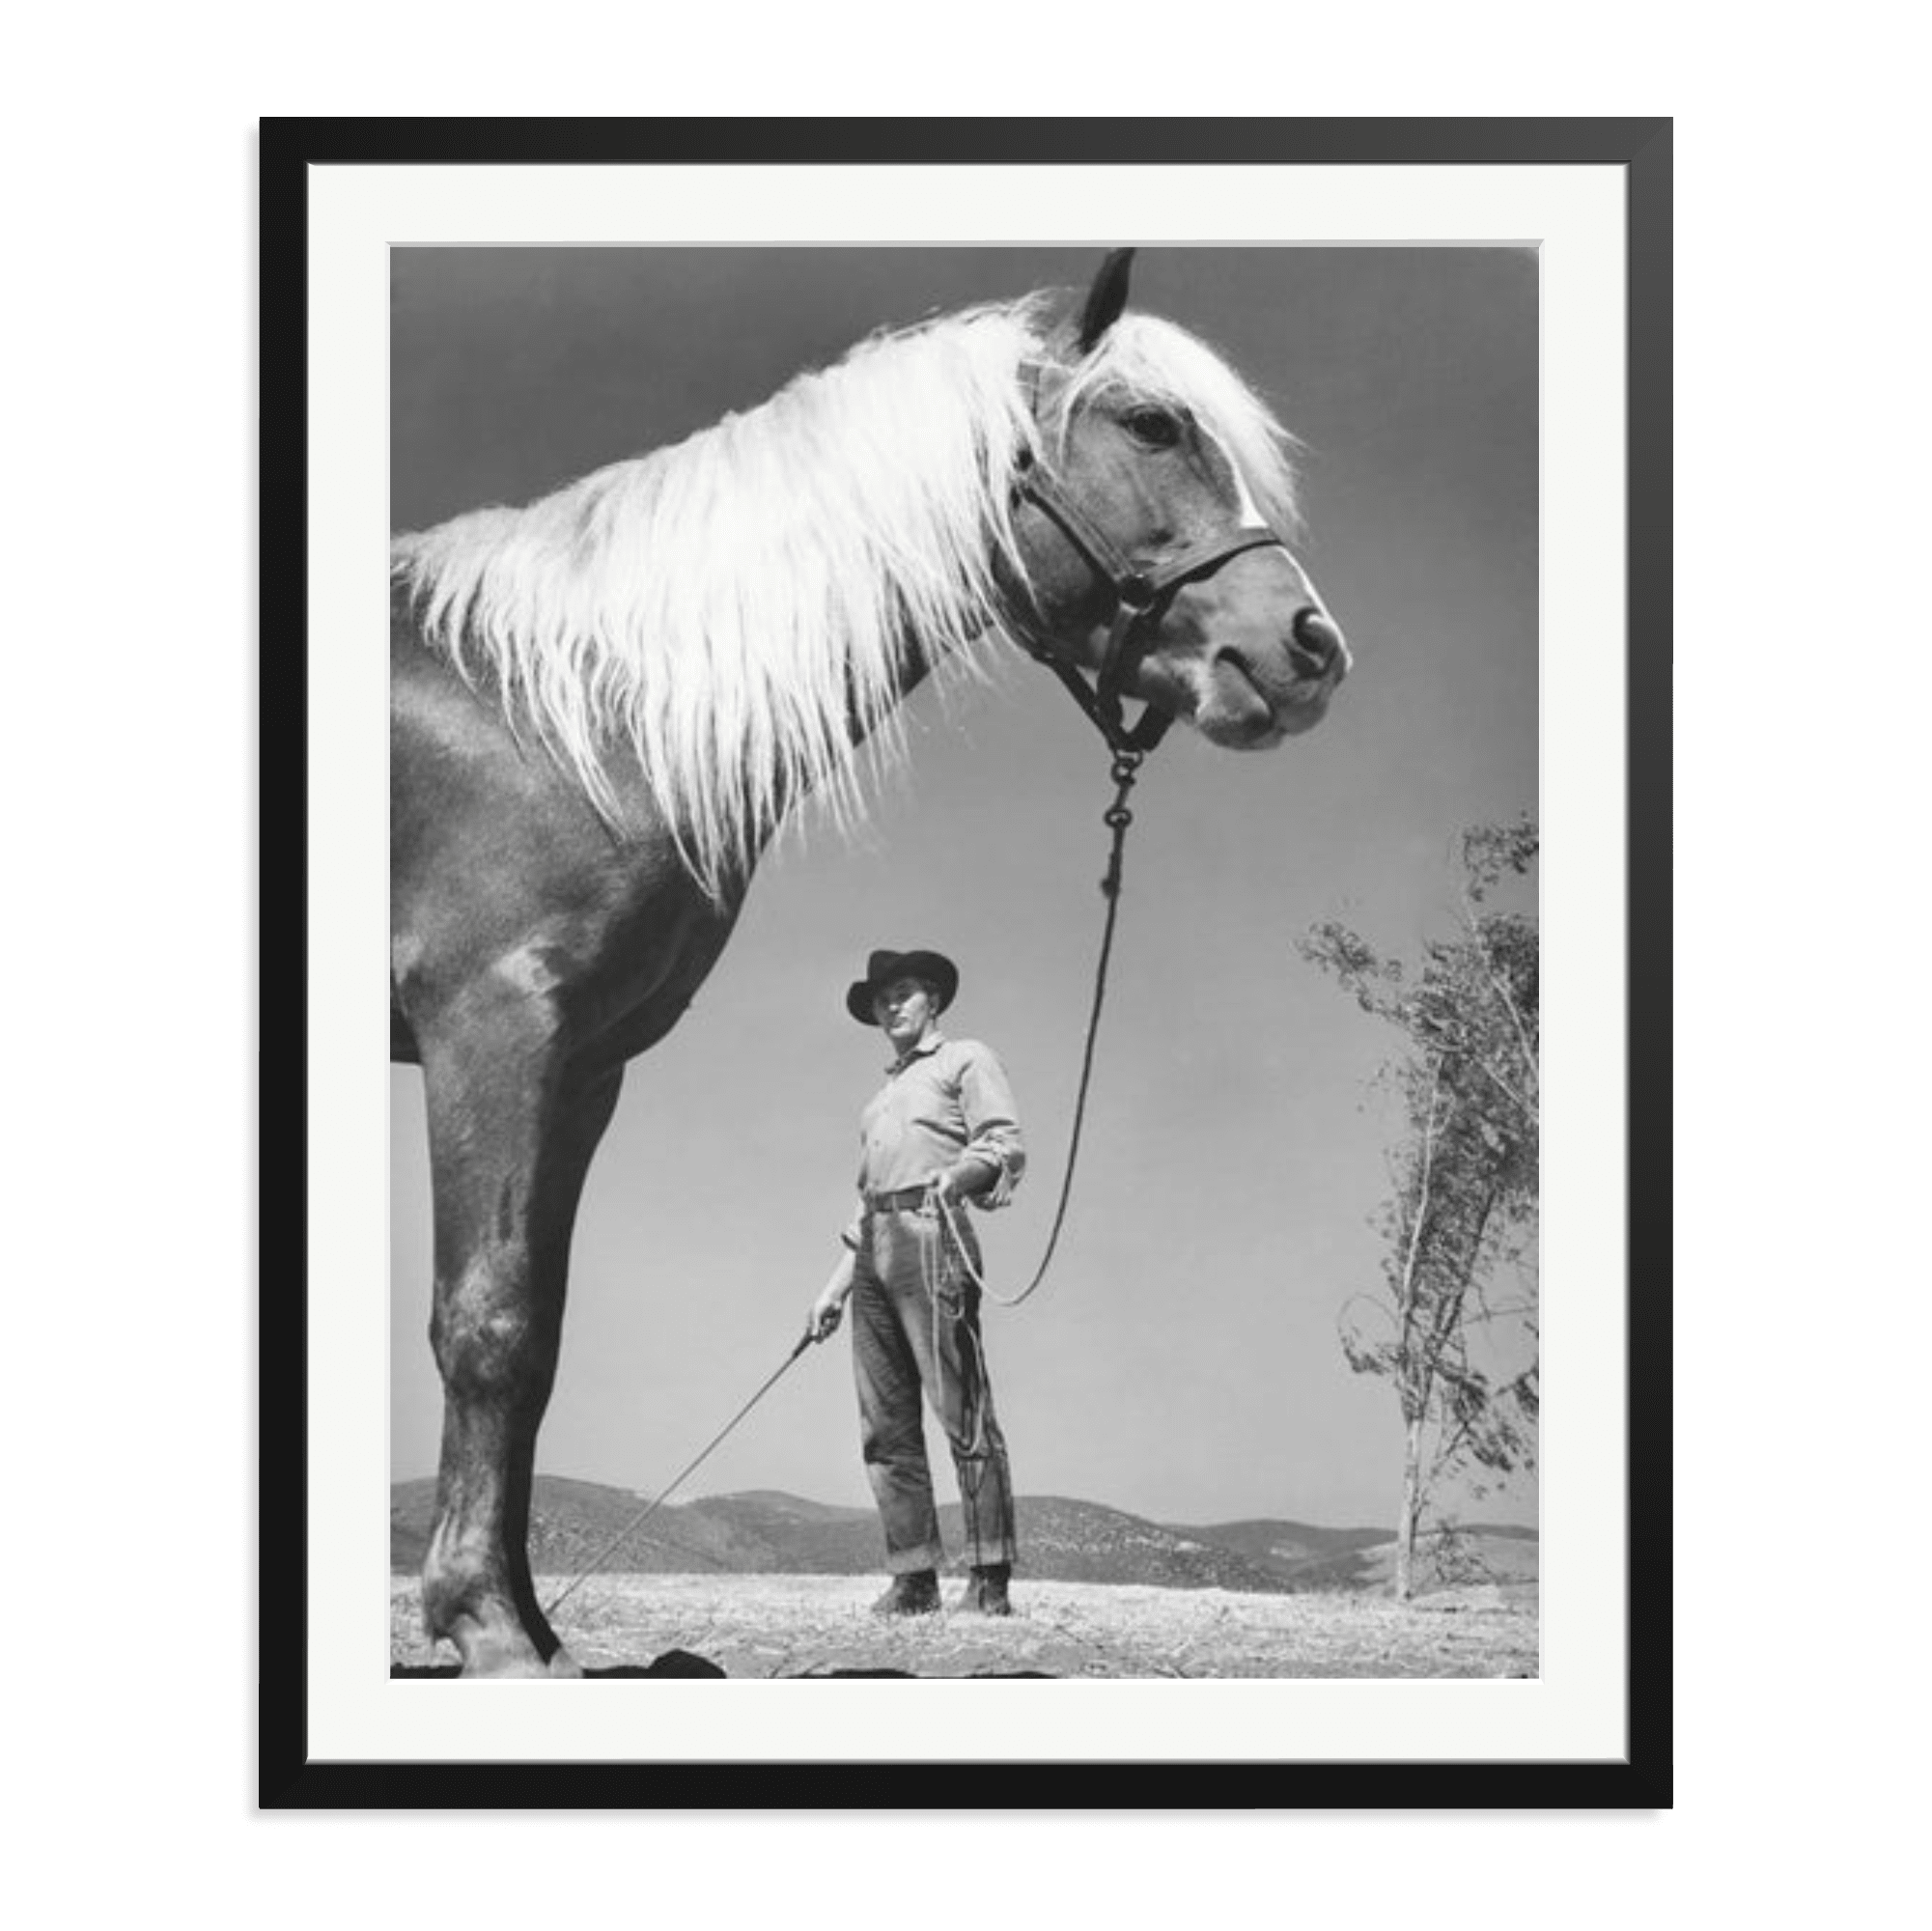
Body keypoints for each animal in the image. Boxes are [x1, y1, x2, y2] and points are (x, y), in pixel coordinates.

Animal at [390, 250, 1350, 1677]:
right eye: (1150, 424)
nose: (1308, 650)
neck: (557, 708)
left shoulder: (584, 1066)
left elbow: (542, 1331)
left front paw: (524, 1620)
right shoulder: (489, 1028)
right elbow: (491, 1322)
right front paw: (489, 1627)